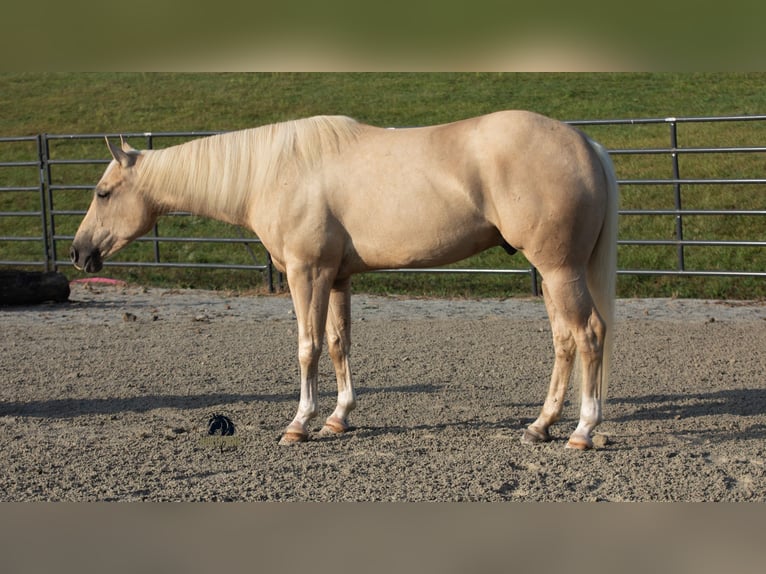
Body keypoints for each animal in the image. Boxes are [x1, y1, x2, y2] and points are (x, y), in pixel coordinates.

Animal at [70, 111, 618, 450]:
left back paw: (582, 431)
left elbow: (307, 347)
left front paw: (299, 424)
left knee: (589, 335)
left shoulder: (306, 273)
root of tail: (587, 144)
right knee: (564, 341)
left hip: (559, 271)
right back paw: (540, 425)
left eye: (102, 193)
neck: (274, 170)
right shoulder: (336, 278)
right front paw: (337, 418)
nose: (78, 253)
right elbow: (337, 344)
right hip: (553, 275)